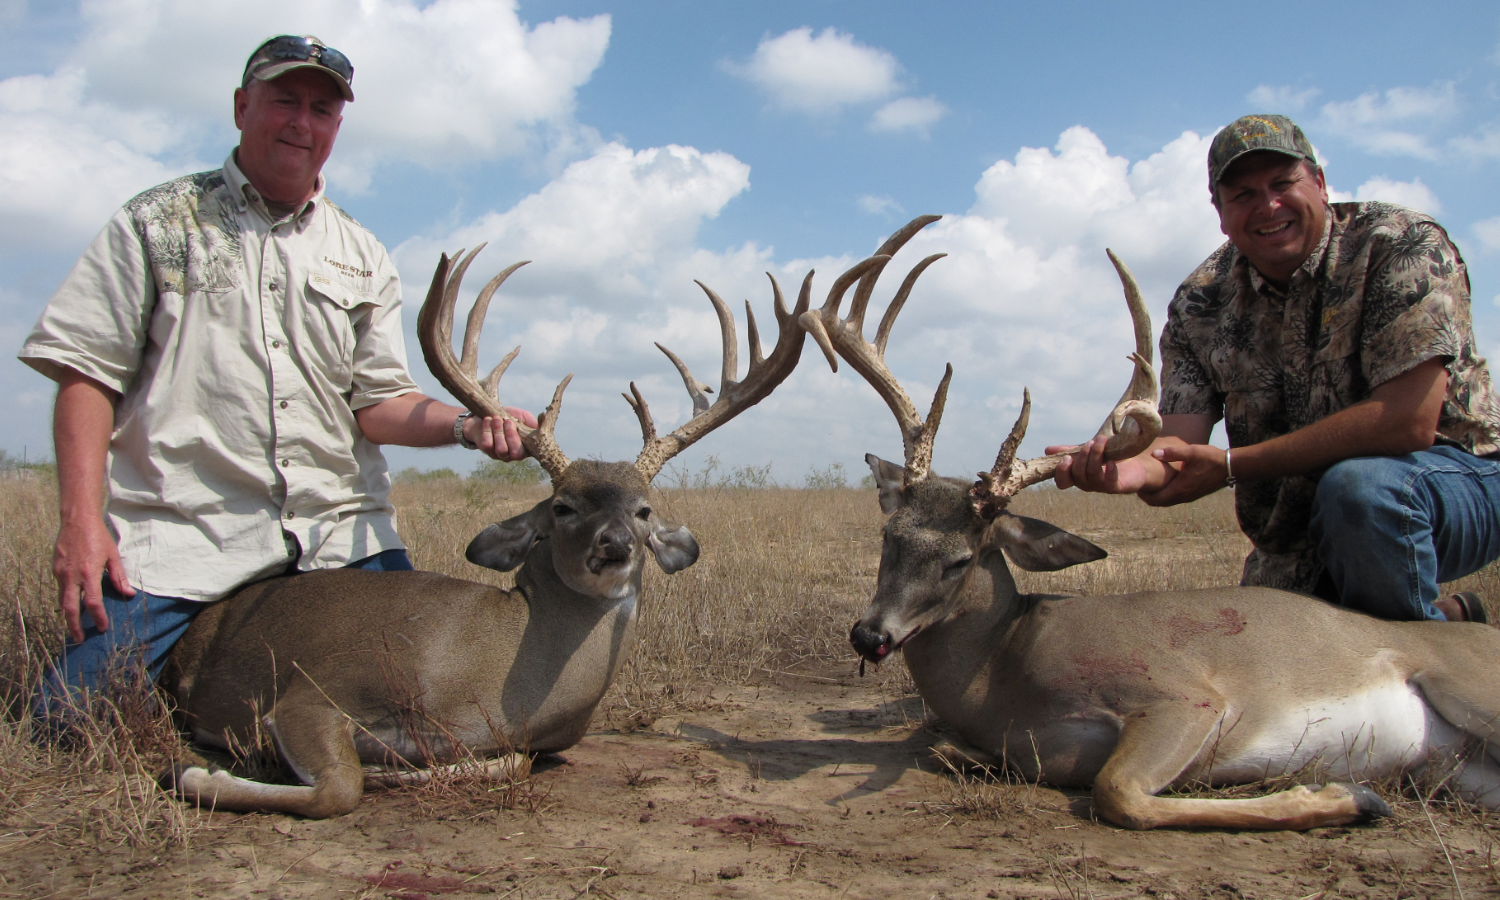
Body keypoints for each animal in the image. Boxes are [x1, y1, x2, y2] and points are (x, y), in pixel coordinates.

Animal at [158, 244, 828, 816]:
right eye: (562, 507)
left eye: (643, 510)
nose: (613, 546)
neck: (488, 673)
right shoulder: (315, 689)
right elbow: (338, 788)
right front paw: (194, 773)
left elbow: (508, 764)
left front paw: (396, 771)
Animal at [804, 214, 1500, 834]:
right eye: (889, 537)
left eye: (961, 560)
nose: (869, 635)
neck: (1000, 672)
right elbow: (950, 751)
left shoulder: (1186, 696)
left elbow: (1118, 793)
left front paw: (1346, 794)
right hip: (1456, 769)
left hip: (1471, 686)